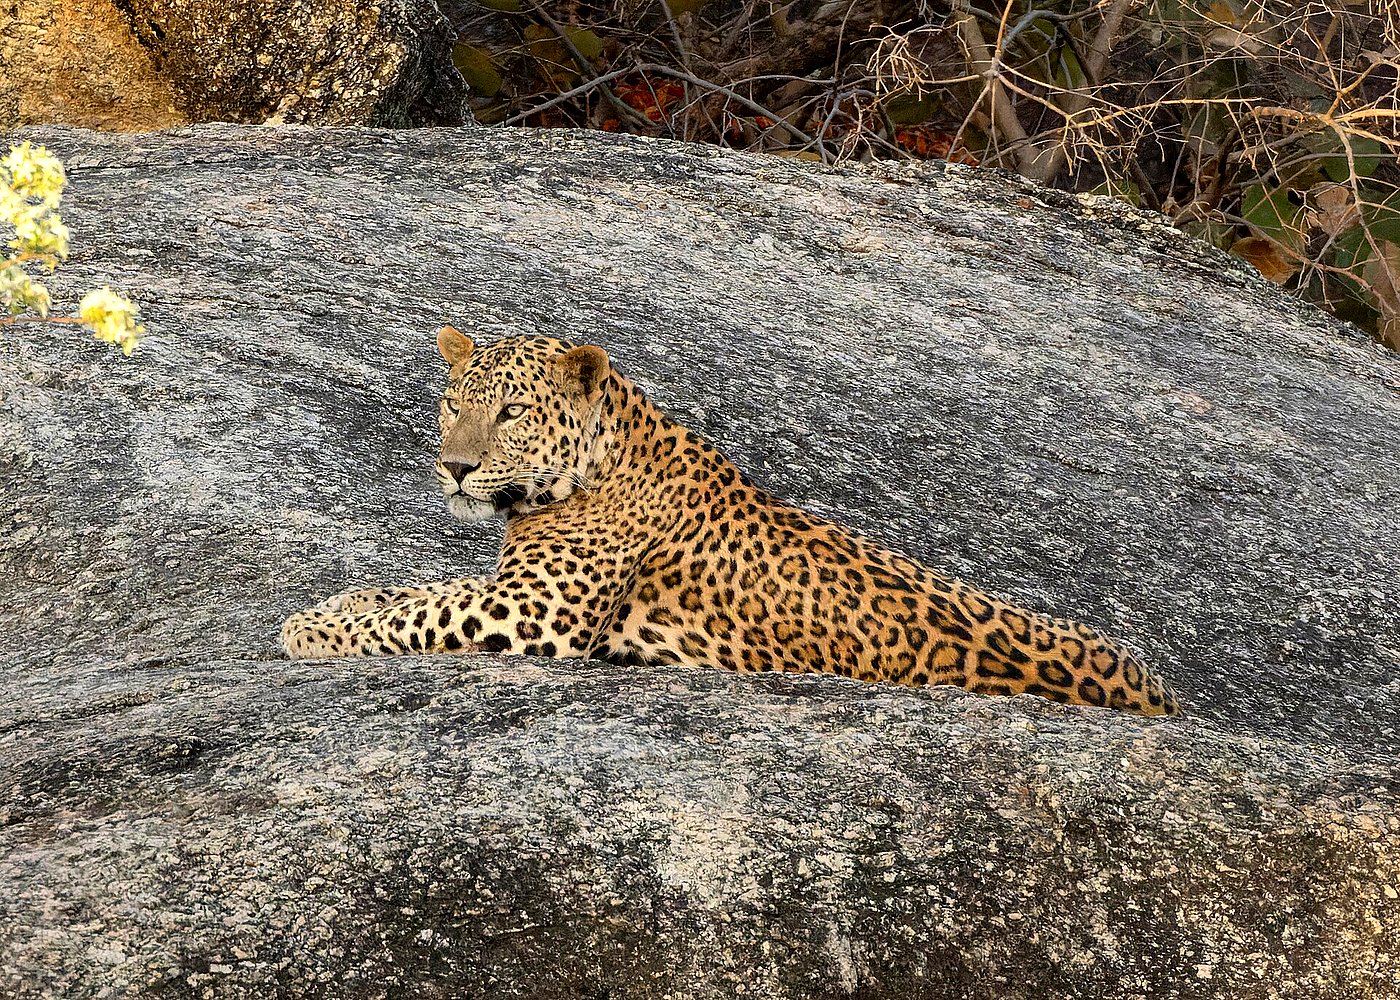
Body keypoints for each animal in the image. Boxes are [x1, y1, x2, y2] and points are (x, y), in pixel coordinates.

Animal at [280, 326, 1182, 717]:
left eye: (510, 414)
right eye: (451, 403)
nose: (456, 467)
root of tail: (1161, 698)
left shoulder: (535, 613)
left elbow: (420, 610)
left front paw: (309, 631)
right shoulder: (510, 584)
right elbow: (411, 591)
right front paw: (331, 606)